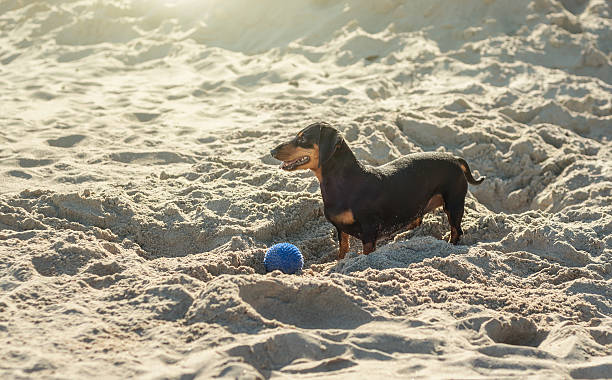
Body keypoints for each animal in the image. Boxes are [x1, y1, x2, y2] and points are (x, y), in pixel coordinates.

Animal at [270, 121, 486, 258]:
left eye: (302, 138)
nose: (271, 151)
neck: (345, 183)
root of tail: (455, 159)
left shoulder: (369, 231)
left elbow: (365, 253)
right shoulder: (341, 229)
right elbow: (343, 249)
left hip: (454, 204)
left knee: (457, 231)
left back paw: (448, 247)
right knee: (417, 219)